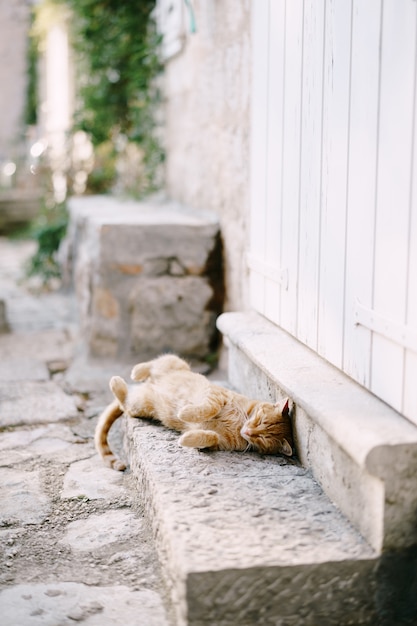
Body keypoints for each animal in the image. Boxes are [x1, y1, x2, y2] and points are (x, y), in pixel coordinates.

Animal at [96, 354, 294, 470]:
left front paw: (186, 439)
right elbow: (208, 408)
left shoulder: (217, 443)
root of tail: (149, 384)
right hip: (172, 365)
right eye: (260, 421)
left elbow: (208, 436)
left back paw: (119, 384)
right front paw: (184, 413)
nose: (248, 432)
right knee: (157, 362)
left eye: (262, 438)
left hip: (140, 404)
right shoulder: (216, 395)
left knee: (125, 402)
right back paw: (133, 373)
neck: (239, 424)